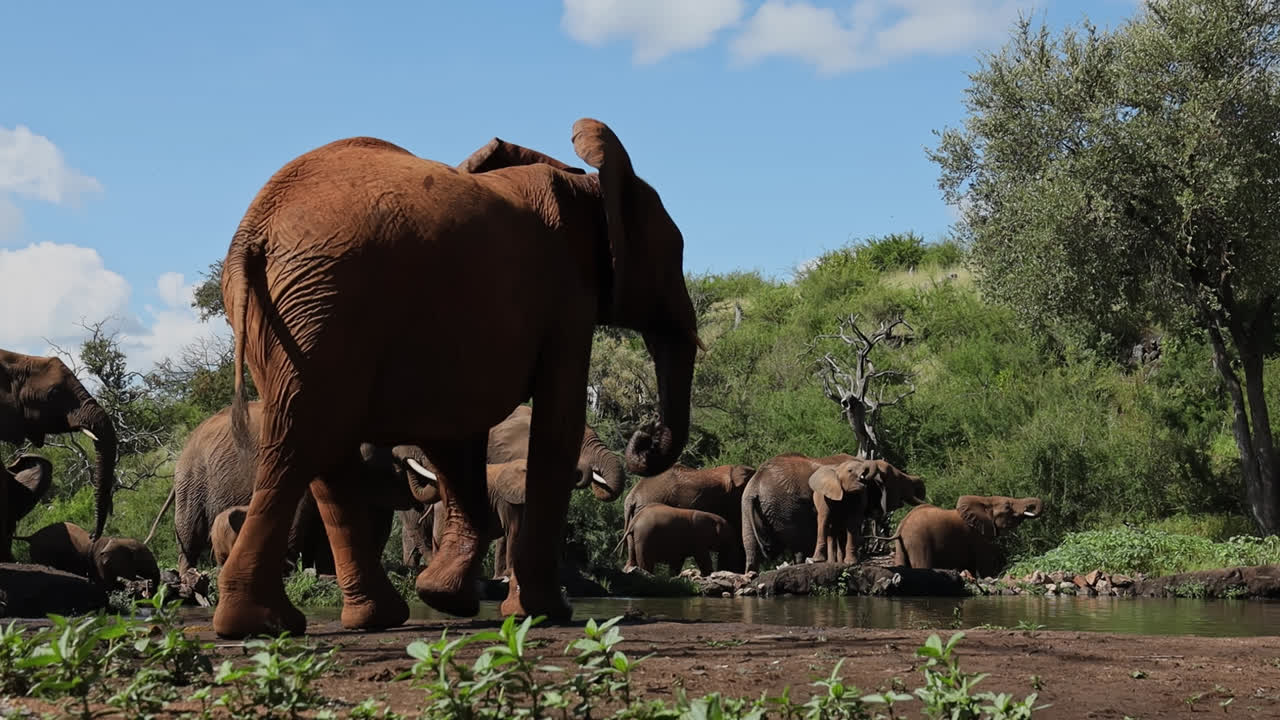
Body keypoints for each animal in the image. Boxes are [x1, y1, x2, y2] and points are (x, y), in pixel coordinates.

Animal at [18, 521, 161, 591]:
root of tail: (31, 537)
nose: (150, 591)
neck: (116, 540)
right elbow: (107, 583)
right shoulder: (99, 561)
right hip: (42, 553)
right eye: (141, 560)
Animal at [214, 118, 698, 638]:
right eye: (674, 253)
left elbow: (458, 436)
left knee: (319, 449)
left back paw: (352, 619)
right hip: (327, 303)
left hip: (297, 312)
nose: (644, 437)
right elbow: (555, 428)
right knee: (304, 442)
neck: (585, 183)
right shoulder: (567, 296)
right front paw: (543, 612)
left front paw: (445, 598)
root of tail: (255, 232)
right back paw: (261, 623)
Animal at [742, 454, 925, 572]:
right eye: (895, 479)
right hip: (787, 507)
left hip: (746, 506)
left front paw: (840, 561)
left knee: (750, 547)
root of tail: (756, 484)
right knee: (799, 543)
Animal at [885, 495, 1044, 577]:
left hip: (904, 543)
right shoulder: (978, 536)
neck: (986, 500)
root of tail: (901, 527)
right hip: (919, 540)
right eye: (1007, 507)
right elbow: (985, 563)